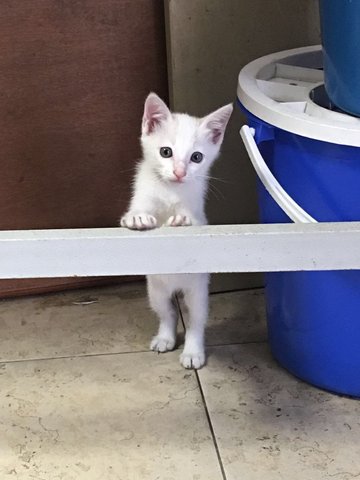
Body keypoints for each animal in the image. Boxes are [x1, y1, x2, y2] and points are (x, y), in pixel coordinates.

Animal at [120, 93, 233, 368]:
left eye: (197, 157)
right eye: (165, 152)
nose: (180, 173)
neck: (171, 190)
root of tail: (176, 286)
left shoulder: (199, 213)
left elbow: (195, 222)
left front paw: (182, 219)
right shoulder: (143, 193)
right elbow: (136, 212)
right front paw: (139, 217)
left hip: (197, 291)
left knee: (195, 321)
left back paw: (193, 352)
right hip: (156, 290)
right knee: (168, 312)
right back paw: (165, 338)